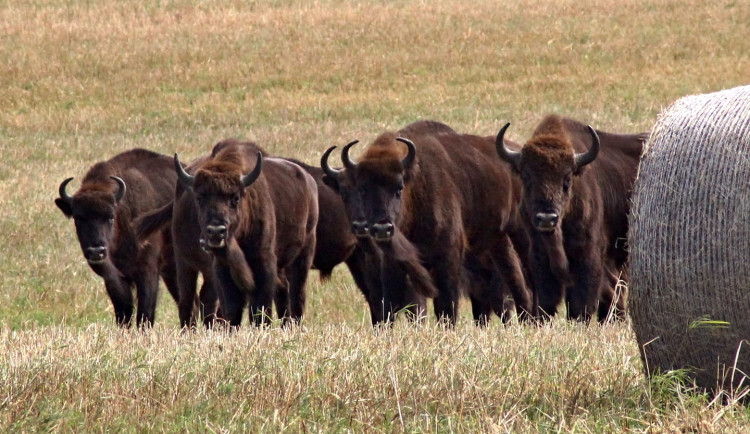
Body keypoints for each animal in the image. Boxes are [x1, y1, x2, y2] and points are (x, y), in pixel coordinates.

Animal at [53, 148, 180, 326]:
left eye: (110, 217)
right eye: (78, 218)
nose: (96, 251)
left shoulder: (148, 273)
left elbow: (144, 316)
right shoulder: (114, 279)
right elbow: (124, 314)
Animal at [175, 142, 318, 326]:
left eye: (235, 198)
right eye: (199, 198)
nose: (216, 231)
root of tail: (309, 180)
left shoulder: (264, 262)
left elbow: (260, 308)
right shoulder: (222, 268)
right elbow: (232, 307)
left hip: (304, 253)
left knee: (297, 294)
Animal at [324, 120, 536, 324]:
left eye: (399, 187)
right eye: (362, 189)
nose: (382, 228)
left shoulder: (447, 257)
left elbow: (444, 306)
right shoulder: (392, 264)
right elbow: (390, 306)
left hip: (519, 235)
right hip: (497, 242)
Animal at [496, 115, 648, 322]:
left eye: (567, 179)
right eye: (526, 178)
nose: (547, 218)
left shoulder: (588, 255)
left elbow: (581, 302)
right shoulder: (539, 257)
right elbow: (547, 301)